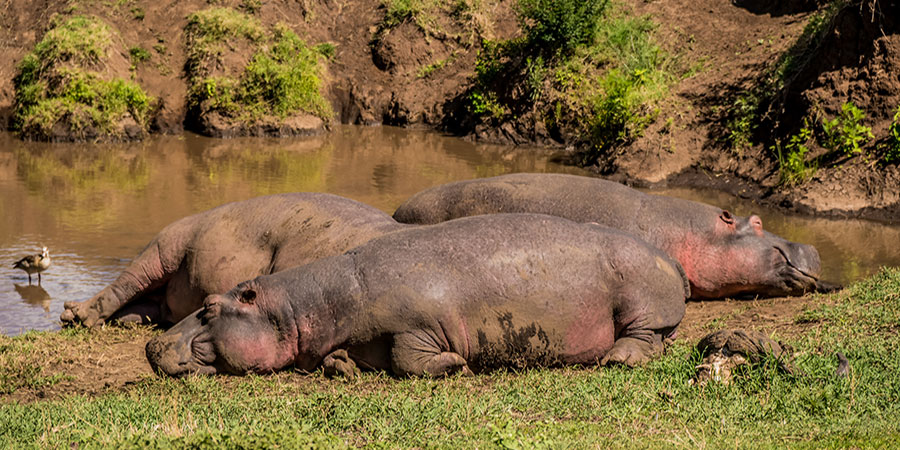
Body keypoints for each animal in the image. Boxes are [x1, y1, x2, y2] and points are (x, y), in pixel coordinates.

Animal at [144, 214, 688, 376]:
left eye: (209, 308)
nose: (150, 345)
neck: (305, 306)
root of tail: (669, 258)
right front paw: (342, 366)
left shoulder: (418, 324)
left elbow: (409, 358)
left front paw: (456, 365)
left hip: (639, 299)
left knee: (646, 337)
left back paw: (616, 359)